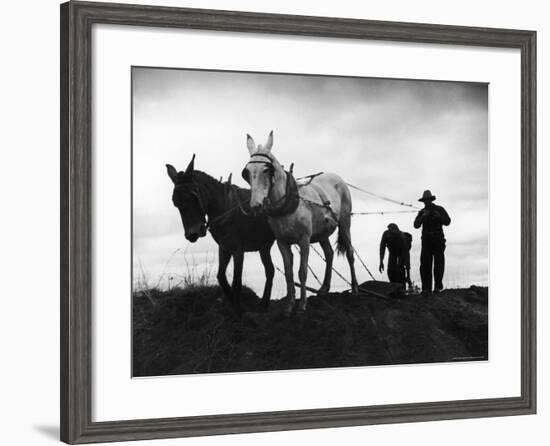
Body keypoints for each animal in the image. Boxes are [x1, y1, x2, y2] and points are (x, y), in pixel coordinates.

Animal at [244, 131, 360, 312]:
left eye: (266, 169)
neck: (285, 206)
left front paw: (302, 305)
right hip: (322, 233)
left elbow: (302, 271)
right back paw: (324, 289)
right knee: (329, 254)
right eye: (247, 172)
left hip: (345, 223)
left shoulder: (304, 240)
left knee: (349, 253)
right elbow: (289, 272)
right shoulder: (282, 242)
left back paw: (354, 289)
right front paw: (289, 304)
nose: (256, 205)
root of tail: (337, 178)